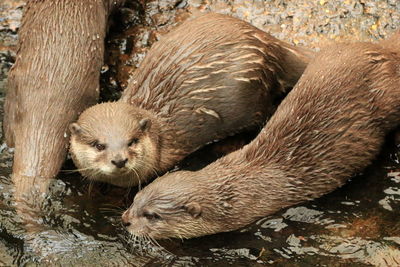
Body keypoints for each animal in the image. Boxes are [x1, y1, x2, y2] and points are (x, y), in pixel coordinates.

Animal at [69, 13, 312, 188]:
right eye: (99, 145)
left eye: (132, 141)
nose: (119, 160)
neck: (159, 138)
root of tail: (268, 43)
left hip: (253, 96)